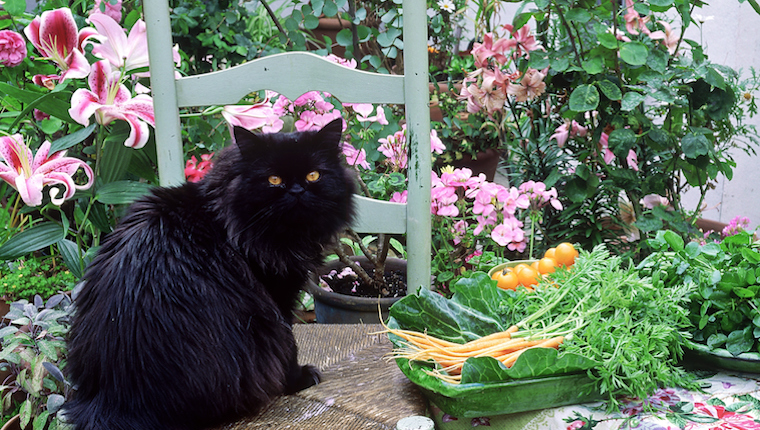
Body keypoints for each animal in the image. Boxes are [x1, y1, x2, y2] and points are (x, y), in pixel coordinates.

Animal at [63, 119, 356, 430]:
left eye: (313, 175)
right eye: (274, 179)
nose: (297, 191)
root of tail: (113, 400)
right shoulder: (277, 299)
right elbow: (290, 345)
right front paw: (298, 379)